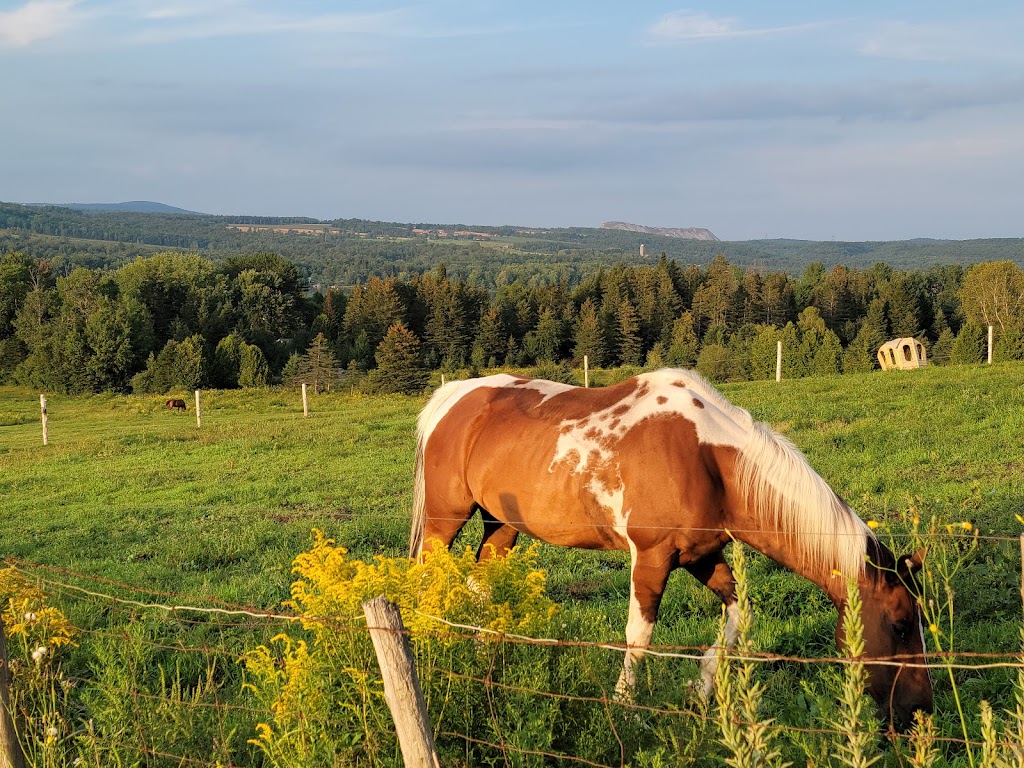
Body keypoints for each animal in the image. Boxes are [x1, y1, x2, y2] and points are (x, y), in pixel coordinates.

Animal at [409, 370, 937, 729]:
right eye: (900, 625)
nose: (920, 712)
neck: (709, 458)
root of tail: (453, 398)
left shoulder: (701, 556)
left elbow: (738, 615)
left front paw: (699, 692)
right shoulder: (653, 556)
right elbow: (638, 635)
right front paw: (627, 709)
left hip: (501, 525)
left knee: (480, 586)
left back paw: (485, 663)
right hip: (444, 520)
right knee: (426, 578)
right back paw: (429, 654)